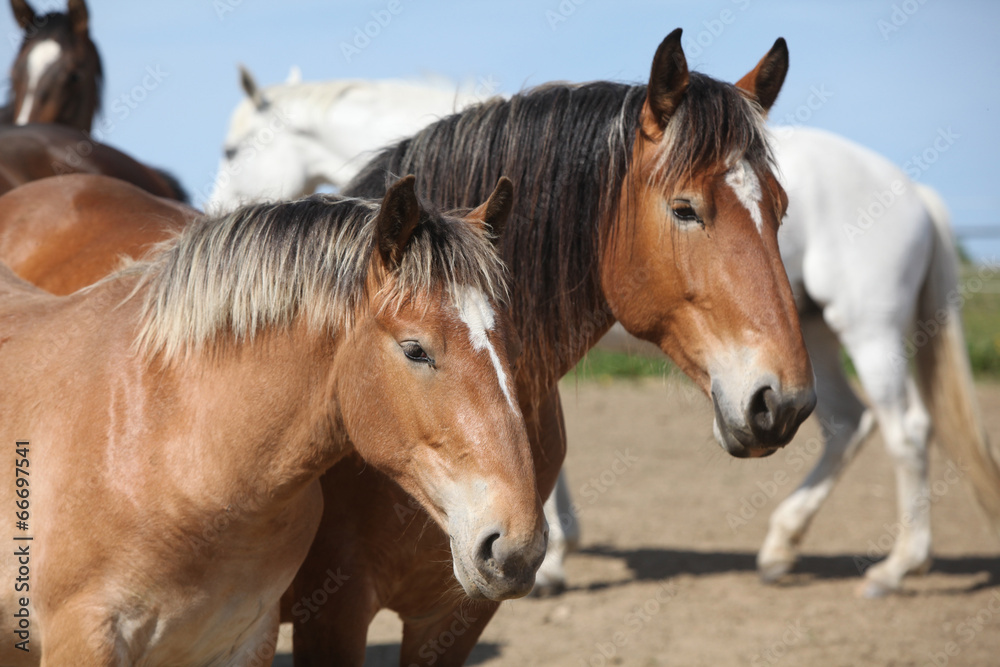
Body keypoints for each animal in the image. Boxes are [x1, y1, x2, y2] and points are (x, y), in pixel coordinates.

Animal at [540, 126, 1000, 599]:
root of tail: (916, 193)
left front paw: (550, 563)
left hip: (870, 334)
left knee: (905, 431)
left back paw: (897, 567)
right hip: (813, 342)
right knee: (849, 422)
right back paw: (783, 544)